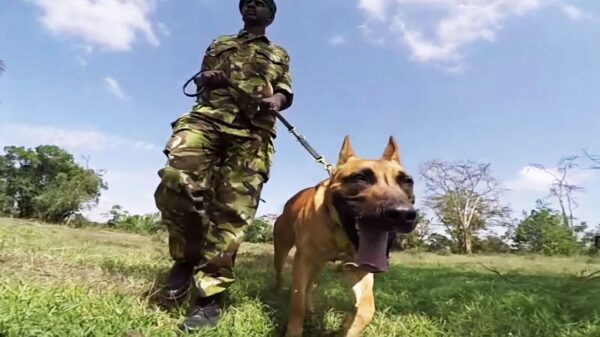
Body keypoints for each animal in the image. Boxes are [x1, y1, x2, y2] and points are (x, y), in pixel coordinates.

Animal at [274, 135, 418, 336]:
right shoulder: (303, 260)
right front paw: (293, 330)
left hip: (317, 264)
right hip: (282, 251)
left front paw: (349, 326)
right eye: (360, 178)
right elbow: (297, 303)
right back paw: (279, 295)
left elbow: (366, 309)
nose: (403, 214)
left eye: (407, 181)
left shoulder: (361, 267)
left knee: (309, 286)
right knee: (282, 277)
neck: (341, 233)